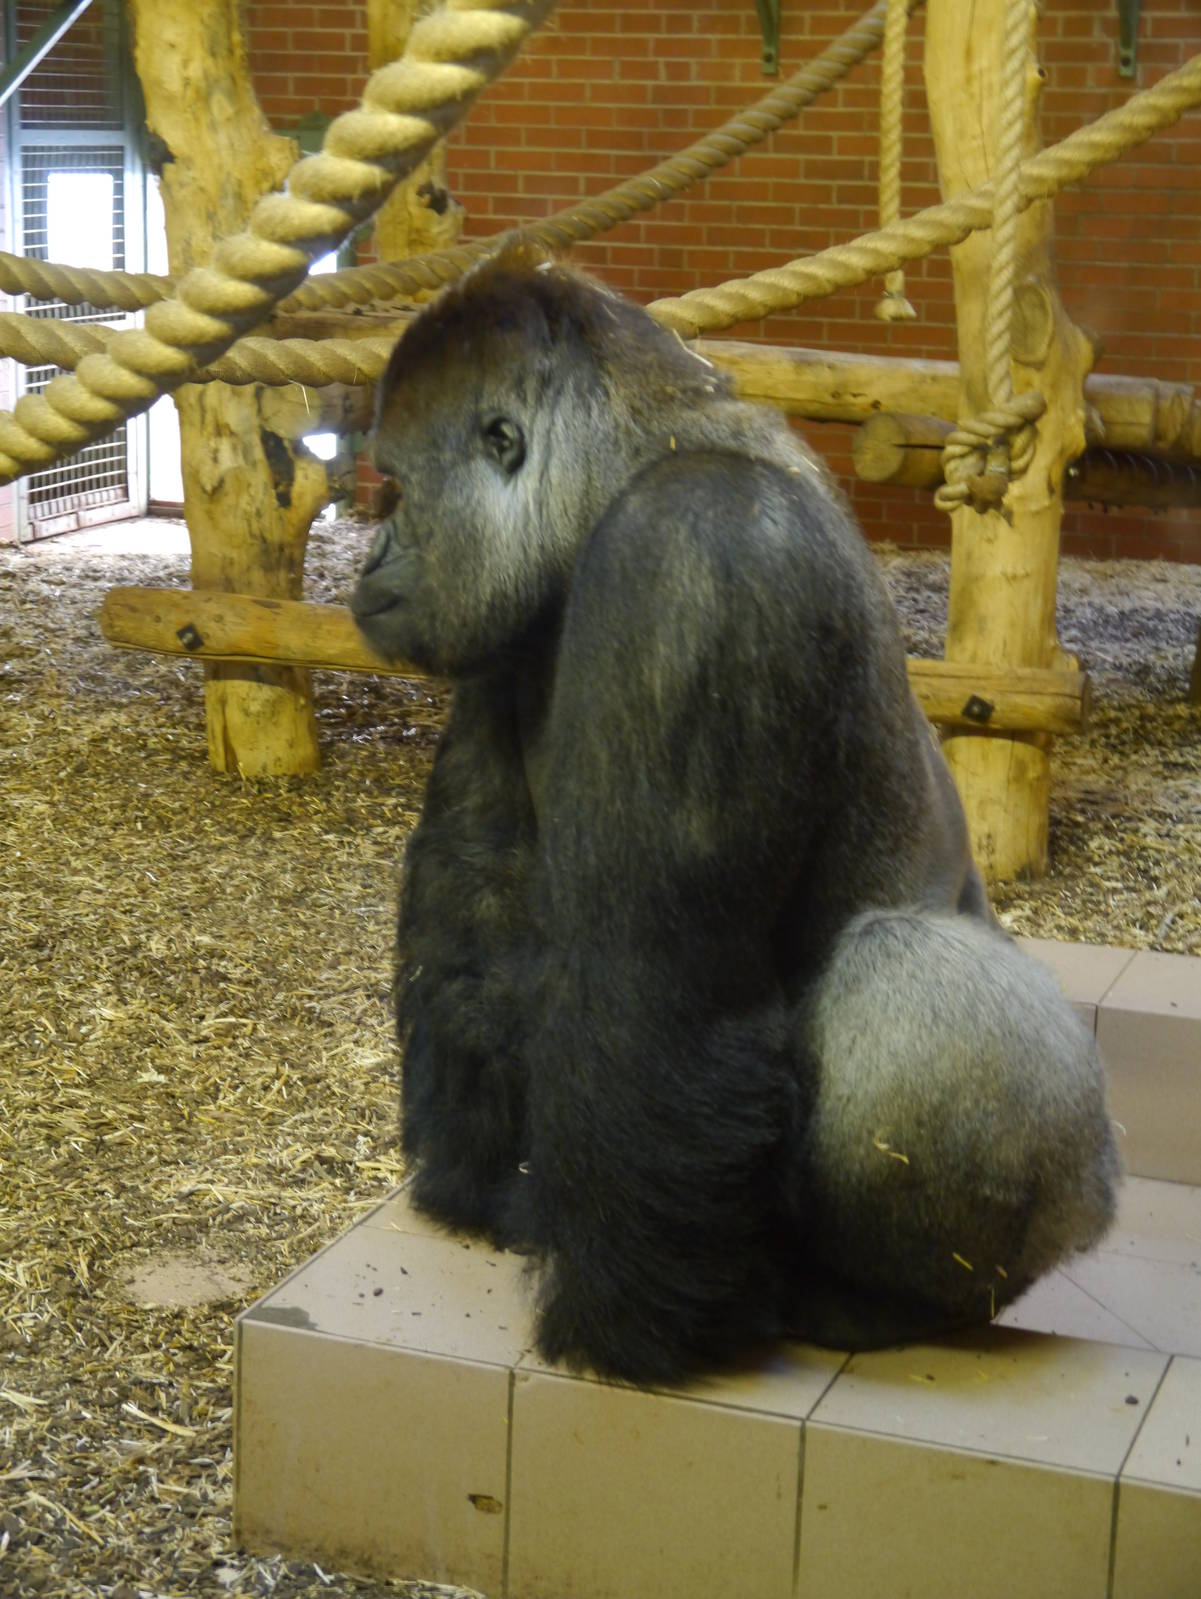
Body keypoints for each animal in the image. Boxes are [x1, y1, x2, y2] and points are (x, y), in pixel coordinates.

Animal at [351, 242, 1118, 1383]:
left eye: (393, 487)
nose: (370, 559)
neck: (631, 455)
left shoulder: (697, 555)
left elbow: (652, 981)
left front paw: (629, 1330)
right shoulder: (507, 628)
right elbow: (480, 888)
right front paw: (488, 1188)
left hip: (1065, 1205)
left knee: (908, 976)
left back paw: (883, 1302)